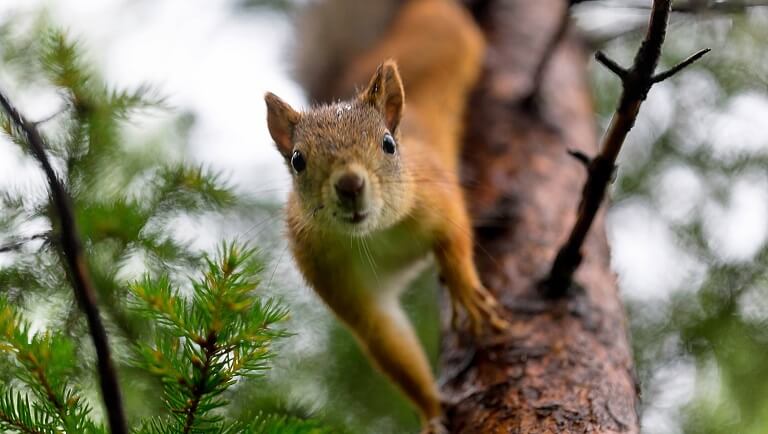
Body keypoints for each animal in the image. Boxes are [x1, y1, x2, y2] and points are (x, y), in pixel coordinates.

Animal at [264, 0, 509, 430]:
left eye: (388, 144)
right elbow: (388, 342)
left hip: (442, 34)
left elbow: (454, 238)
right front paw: (431, 413)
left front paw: (465, 290)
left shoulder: (435, 193)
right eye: (297, 160)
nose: (349, 185)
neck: (375, 234)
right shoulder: (333, 276)